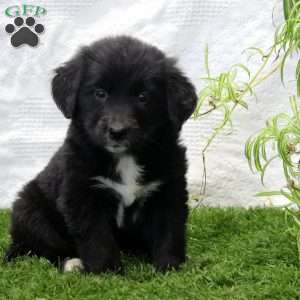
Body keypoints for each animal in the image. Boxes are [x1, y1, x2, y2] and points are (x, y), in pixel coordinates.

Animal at [4, 36, 198, 274]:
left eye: (143, 96)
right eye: (100, 93)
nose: (117, 131)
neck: (126, 158)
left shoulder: (168, 190)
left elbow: (169, 231)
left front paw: (170, 267)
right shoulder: (82, 193)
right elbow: (97, 237)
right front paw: (107, 271)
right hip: (29, 210)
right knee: (40, 249)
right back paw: (72, 263)